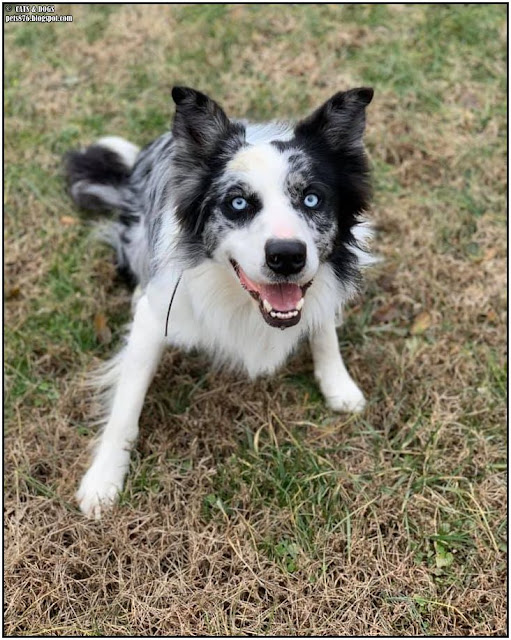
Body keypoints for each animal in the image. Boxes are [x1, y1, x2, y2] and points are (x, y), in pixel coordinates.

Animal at [65, 85, 376, 516]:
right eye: (238, 203)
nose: (287, 257)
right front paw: (103, 480)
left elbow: (323, 329)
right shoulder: (156, 318)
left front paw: (338, 384)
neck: (243, 302)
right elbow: (126, 404)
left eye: (312, 199)